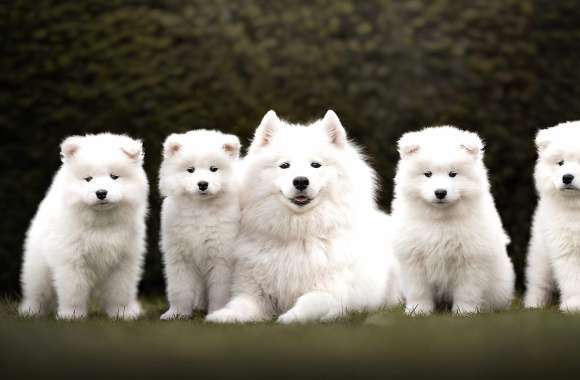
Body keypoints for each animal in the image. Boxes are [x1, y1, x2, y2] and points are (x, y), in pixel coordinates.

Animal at [19, 132, 148, 320]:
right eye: (88, 179)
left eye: (114, 176)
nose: (101, 193)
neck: (101, 223)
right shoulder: (72, 261)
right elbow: (74, 291)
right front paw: (72, 315)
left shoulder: (123, 262)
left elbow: (120, 292)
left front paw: (122, 313)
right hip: (39, 270)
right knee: (37, 293)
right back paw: (31, 311)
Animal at [159, 129, 240, 320]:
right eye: (190, 170)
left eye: (213, 169)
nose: (203, 184)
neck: (201, 209)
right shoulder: (179, 256)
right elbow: (179, 289)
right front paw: (176, 314)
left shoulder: (221, 258)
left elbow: (219, 291)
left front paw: (217, 312)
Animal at [206, 109, 402, 324]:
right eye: (284, 165)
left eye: (315, 165)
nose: (300, 181)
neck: (298, 233)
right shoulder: (253, 292)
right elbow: (239, 306)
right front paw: (221, 316)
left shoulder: (330, 293)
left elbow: (307, 304)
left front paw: (287, 318)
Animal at [392, 127, 516, 314]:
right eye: (427, 174)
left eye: (453, 174)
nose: (440, 192)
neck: (440, 220)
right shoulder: (413, 259)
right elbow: (419, 290)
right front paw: (418, 311)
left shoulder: (471, 259)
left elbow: (467, 291)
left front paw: (464, 312)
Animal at [524, 121, 580, 312]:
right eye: (560, 163)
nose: (567, 177)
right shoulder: (566, 248)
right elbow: (572, 279)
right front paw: (574, 305)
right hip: (542, 257)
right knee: (538, 283)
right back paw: (533, 305)